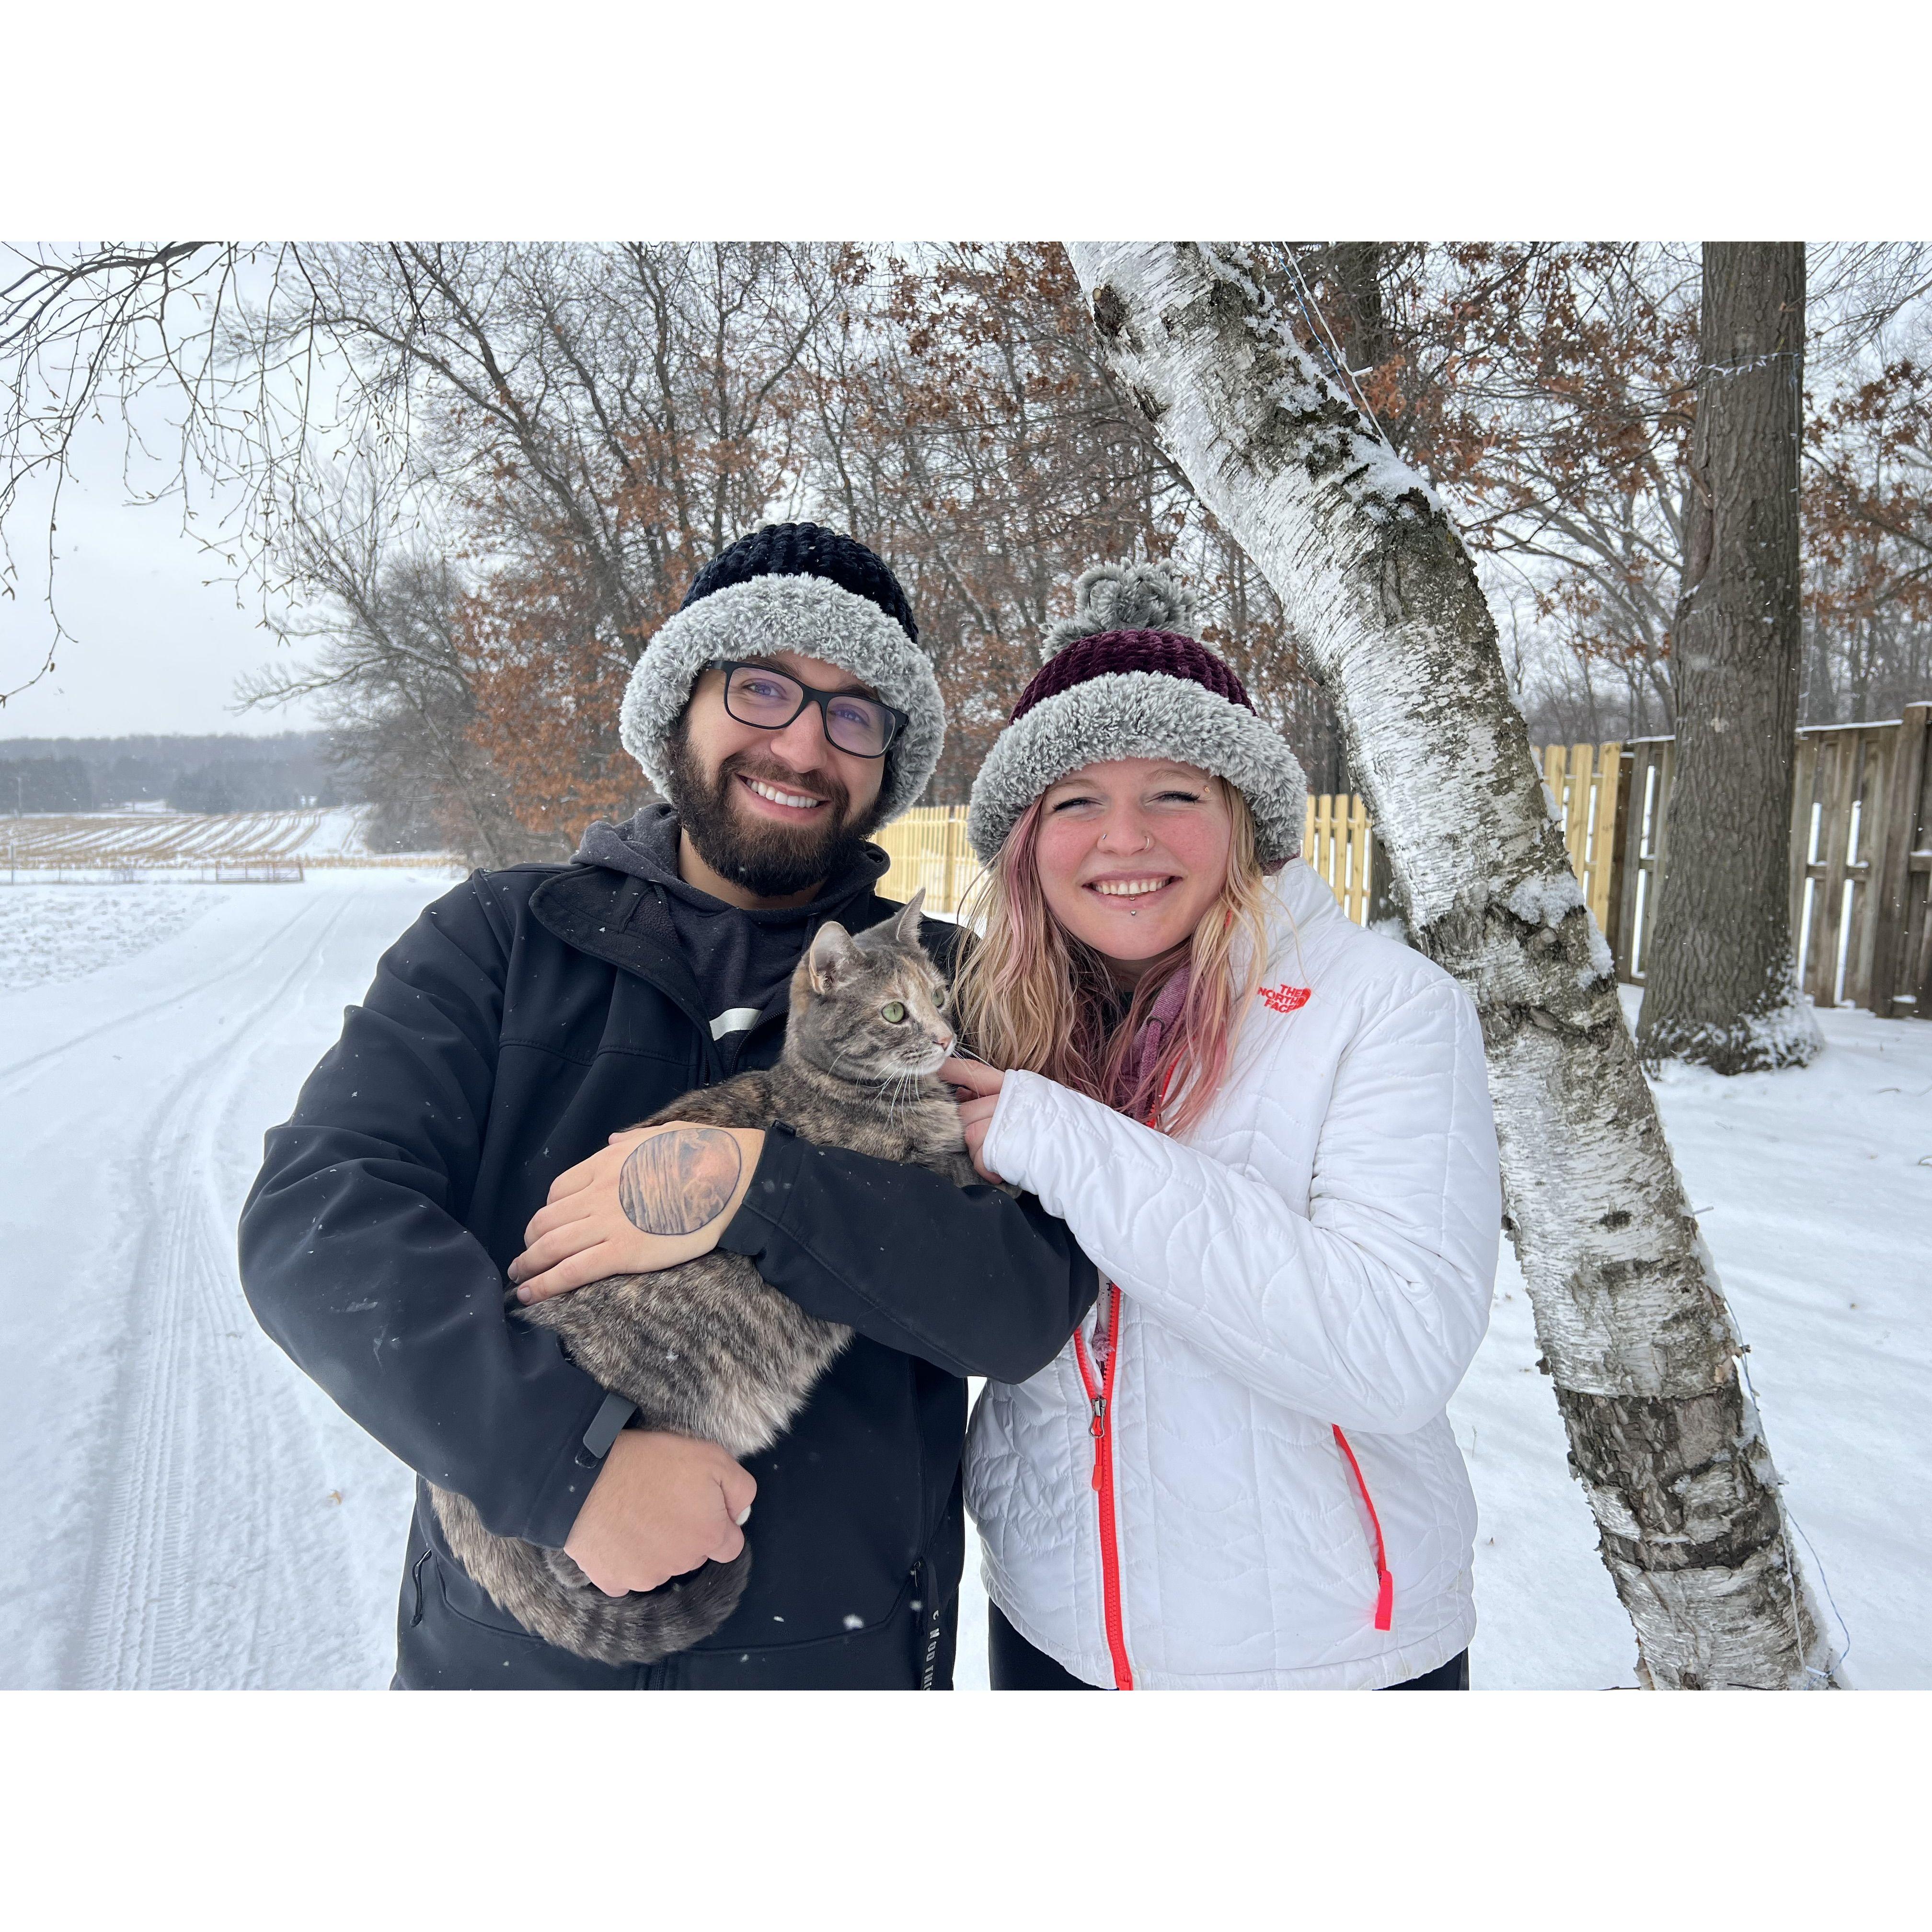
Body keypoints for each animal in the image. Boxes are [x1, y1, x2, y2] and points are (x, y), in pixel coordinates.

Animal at [427, 888, 966, 1661]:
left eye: (941, 996)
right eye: (895, 1012)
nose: (949, 1040)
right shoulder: (915, 1173)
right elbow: (966, 1167)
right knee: (568, 1555)